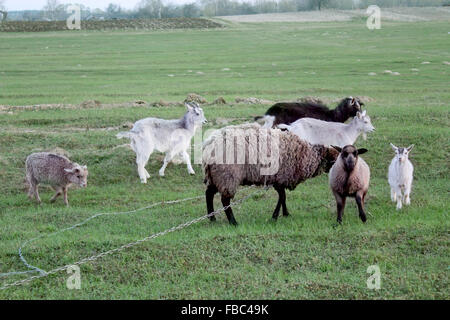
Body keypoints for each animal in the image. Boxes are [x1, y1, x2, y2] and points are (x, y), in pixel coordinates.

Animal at [203, 123, 338, 225]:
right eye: (334, 160)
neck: (304, 155)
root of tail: (209, 146)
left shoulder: (279, 179)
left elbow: (283, 197)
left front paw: (285, 213)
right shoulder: (280, 178)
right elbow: (282, 197)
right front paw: (275, 216)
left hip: (215, 175)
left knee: (209, 194)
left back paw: (212, 218)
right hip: (227, 176)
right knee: (225, 200)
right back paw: (233, 222)